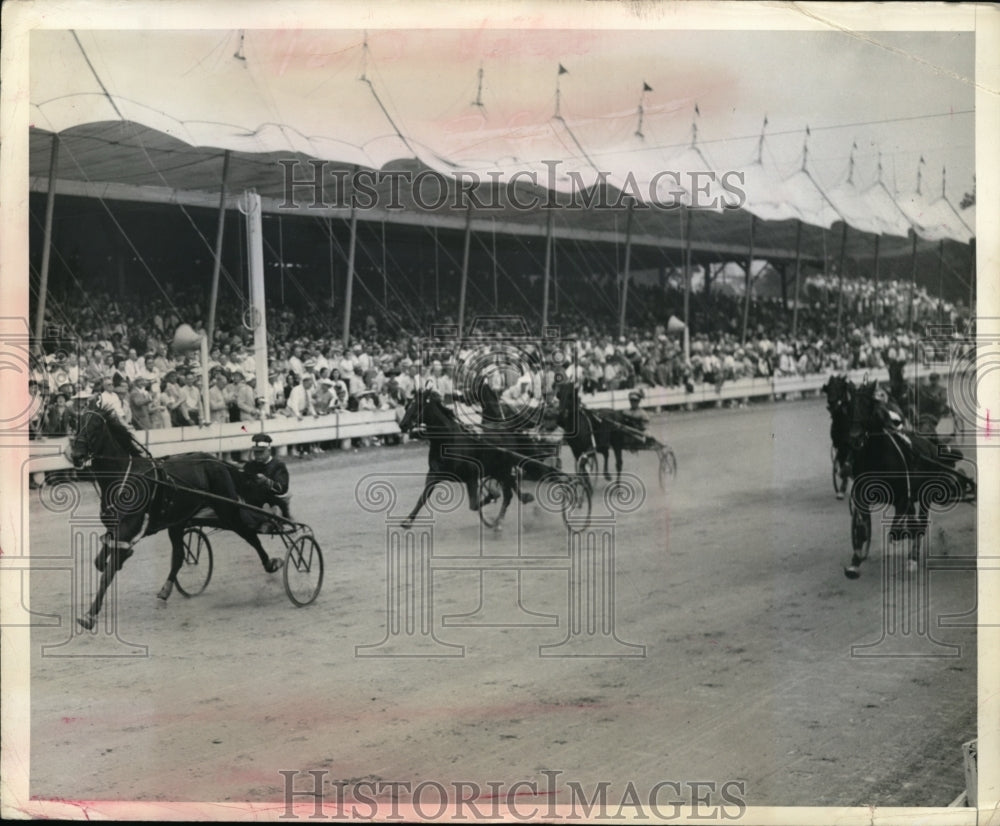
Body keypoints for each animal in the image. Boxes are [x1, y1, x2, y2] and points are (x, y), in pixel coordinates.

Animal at [65, 402, 286, 628]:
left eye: (95, 426)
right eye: (77, 423)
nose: (77, 456)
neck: (125, 477)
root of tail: (215, 461)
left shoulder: (128, 528)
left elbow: (108, 572)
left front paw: (89, 615)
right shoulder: (115, 528)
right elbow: (101, 562)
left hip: (227, 510)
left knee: (249, 534)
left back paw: (271, 563)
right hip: (178, 521)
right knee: (179, 556)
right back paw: (165, 590)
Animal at [396, 390, 536, 532]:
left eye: (418, 405)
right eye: (407, 405)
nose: (403, 424)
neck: (446, 441)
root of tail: (506, 428)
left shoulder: (471, 476)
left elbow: (474, 504)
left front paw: (491, 496)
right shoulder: (434, 473)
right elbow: (423, 497)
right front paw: (407, 521)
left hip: (504, 468)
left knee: (508, 494)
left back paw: (499, 520)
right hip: (497, 469)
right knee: (510, 490)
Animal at [844, 382, 976, 580]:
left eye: (869, 406)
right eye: (850, 406)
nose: (854, 437)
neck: (876, 456)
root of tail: (930, 446)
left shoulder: (901, 498)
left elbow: (900, 530)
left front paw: (907, 545)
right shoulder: (862, 494)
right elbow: (862, 527)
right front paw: (855, 562)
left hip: (926, 494)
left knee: (920, 522)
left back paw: (913, 557)